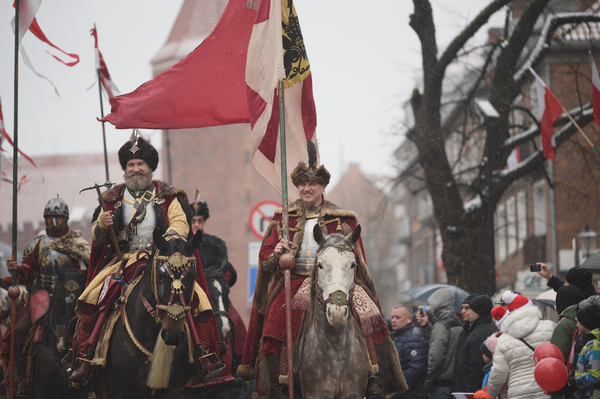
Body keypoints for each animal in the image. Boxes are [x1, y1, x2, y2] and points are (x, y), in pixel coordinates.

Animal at [296, 227, 370, 398]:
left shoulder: (354, 393)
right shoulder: (317, 393)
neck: (337, 351)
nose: (337, 314)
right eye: (320, 265)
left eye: (352, 264)